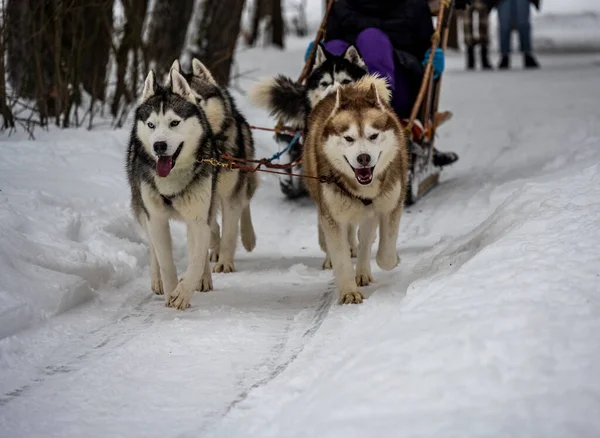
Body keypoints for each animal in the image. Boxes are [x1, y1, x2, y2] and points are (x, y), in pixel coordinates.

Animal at [126, 68, 218, 310]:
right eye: (151, 125)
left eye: (174, 123)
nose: (159, 146)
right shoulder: (155, 218)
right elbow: (164, 259)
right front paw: (170, 289)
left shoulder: (198, 218)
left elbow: (197, 258)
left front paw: (184, 292)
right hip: (142, 208)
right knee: (152, 248)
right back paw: (157, 280)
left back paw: (203, 278)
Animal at [166, 58, 258, 274]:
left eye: (198, 100)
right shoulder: (205, 195)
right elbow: (212, 227)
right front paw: (213, 246)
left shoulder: (230, 195)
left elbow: (229, 232)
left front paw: (225, 262)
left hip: (245, 179)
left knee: (245, 204)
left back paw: (248, 237)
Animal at [304, 74, 408, 304]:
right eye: (349, 138)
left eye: (373, 136)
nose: (363, 158)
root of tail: (354, 87)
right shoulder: (333, 216)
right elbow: (341, 256)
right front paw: (349, 292)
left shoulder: (390, 205)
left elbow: (385, 254)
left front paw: (391, 259)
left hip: (369, 214)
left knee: (365, 240)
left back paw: (362, 271)